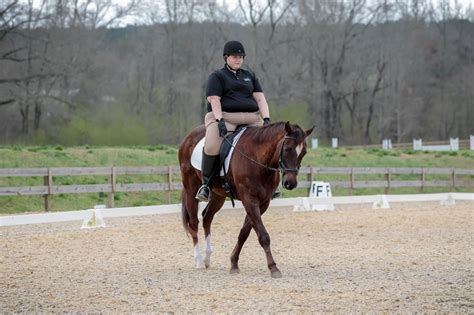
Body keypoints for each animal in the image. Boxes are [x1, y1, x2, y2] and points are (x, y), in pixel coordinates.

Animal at [180, 121, 312, 278]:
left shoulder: (263, 203)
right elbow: (263, 235)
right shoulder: (249, 200)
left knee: (207, 218)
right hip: (191, 189)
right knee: (194, 223)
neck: (259, 159)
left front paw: (234, 263)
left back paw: (207, 258)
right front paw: (273, 267)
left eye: (303, 153)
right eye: (287, 149)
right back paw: (199, 261)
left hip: (218, 195)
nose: (290, 183)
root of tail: (188, 137)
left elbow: (244, 233)